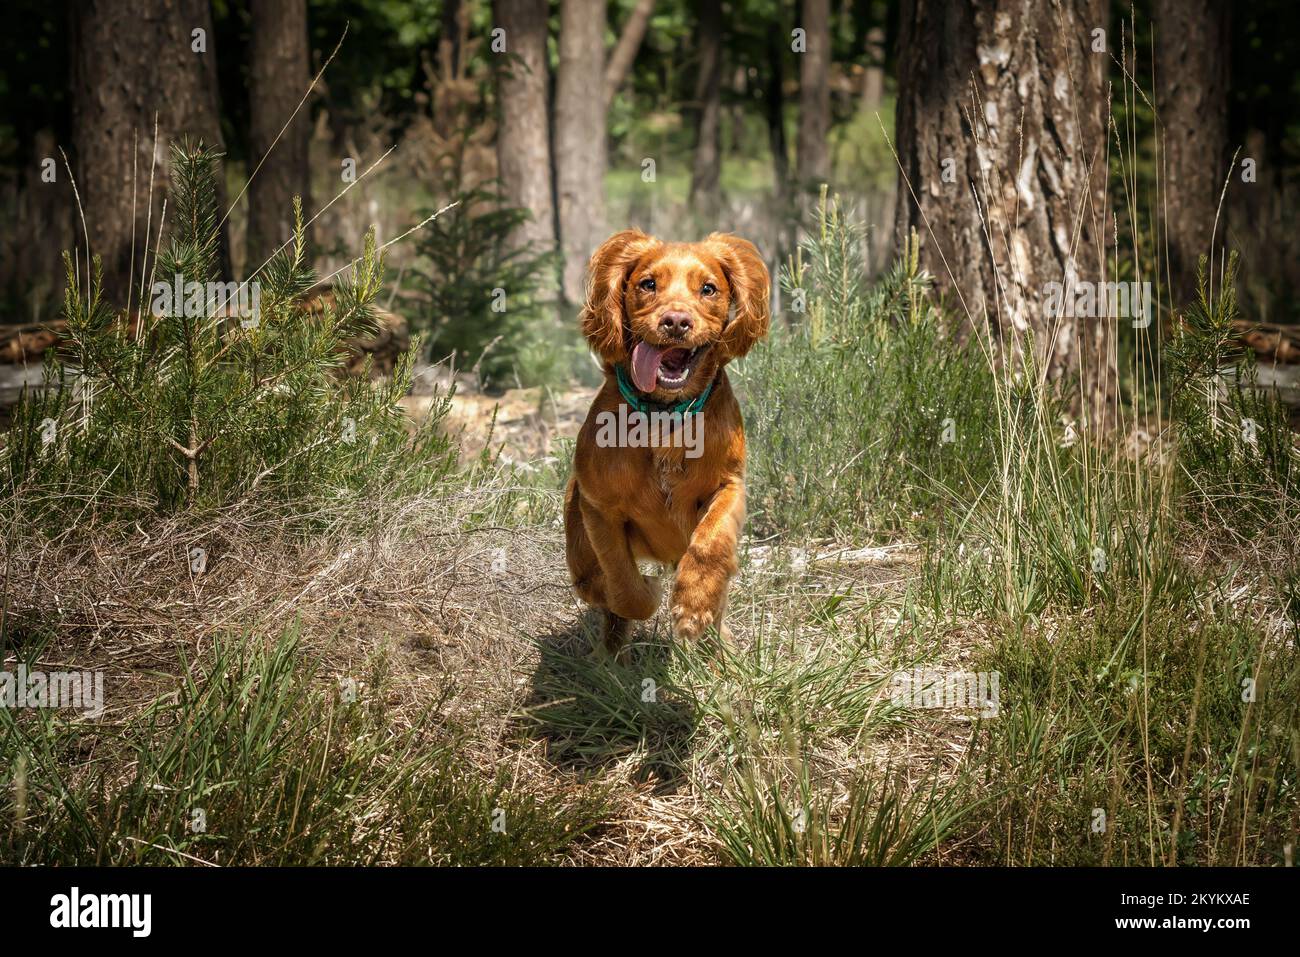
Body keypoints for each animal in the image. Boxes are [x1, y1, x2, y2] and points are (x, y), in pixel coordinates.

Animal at [561, 230, 764, 657]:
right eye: (648, 284)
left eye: (708, 288)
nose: (675, 322)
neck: (665, 418)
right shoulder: (599, 510)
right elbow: (622, 586)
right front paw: (649, 593)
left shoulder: (730, 486)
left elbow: (710, 543)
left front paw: (693, 605)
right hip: (578, 539)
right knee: (594, 587)